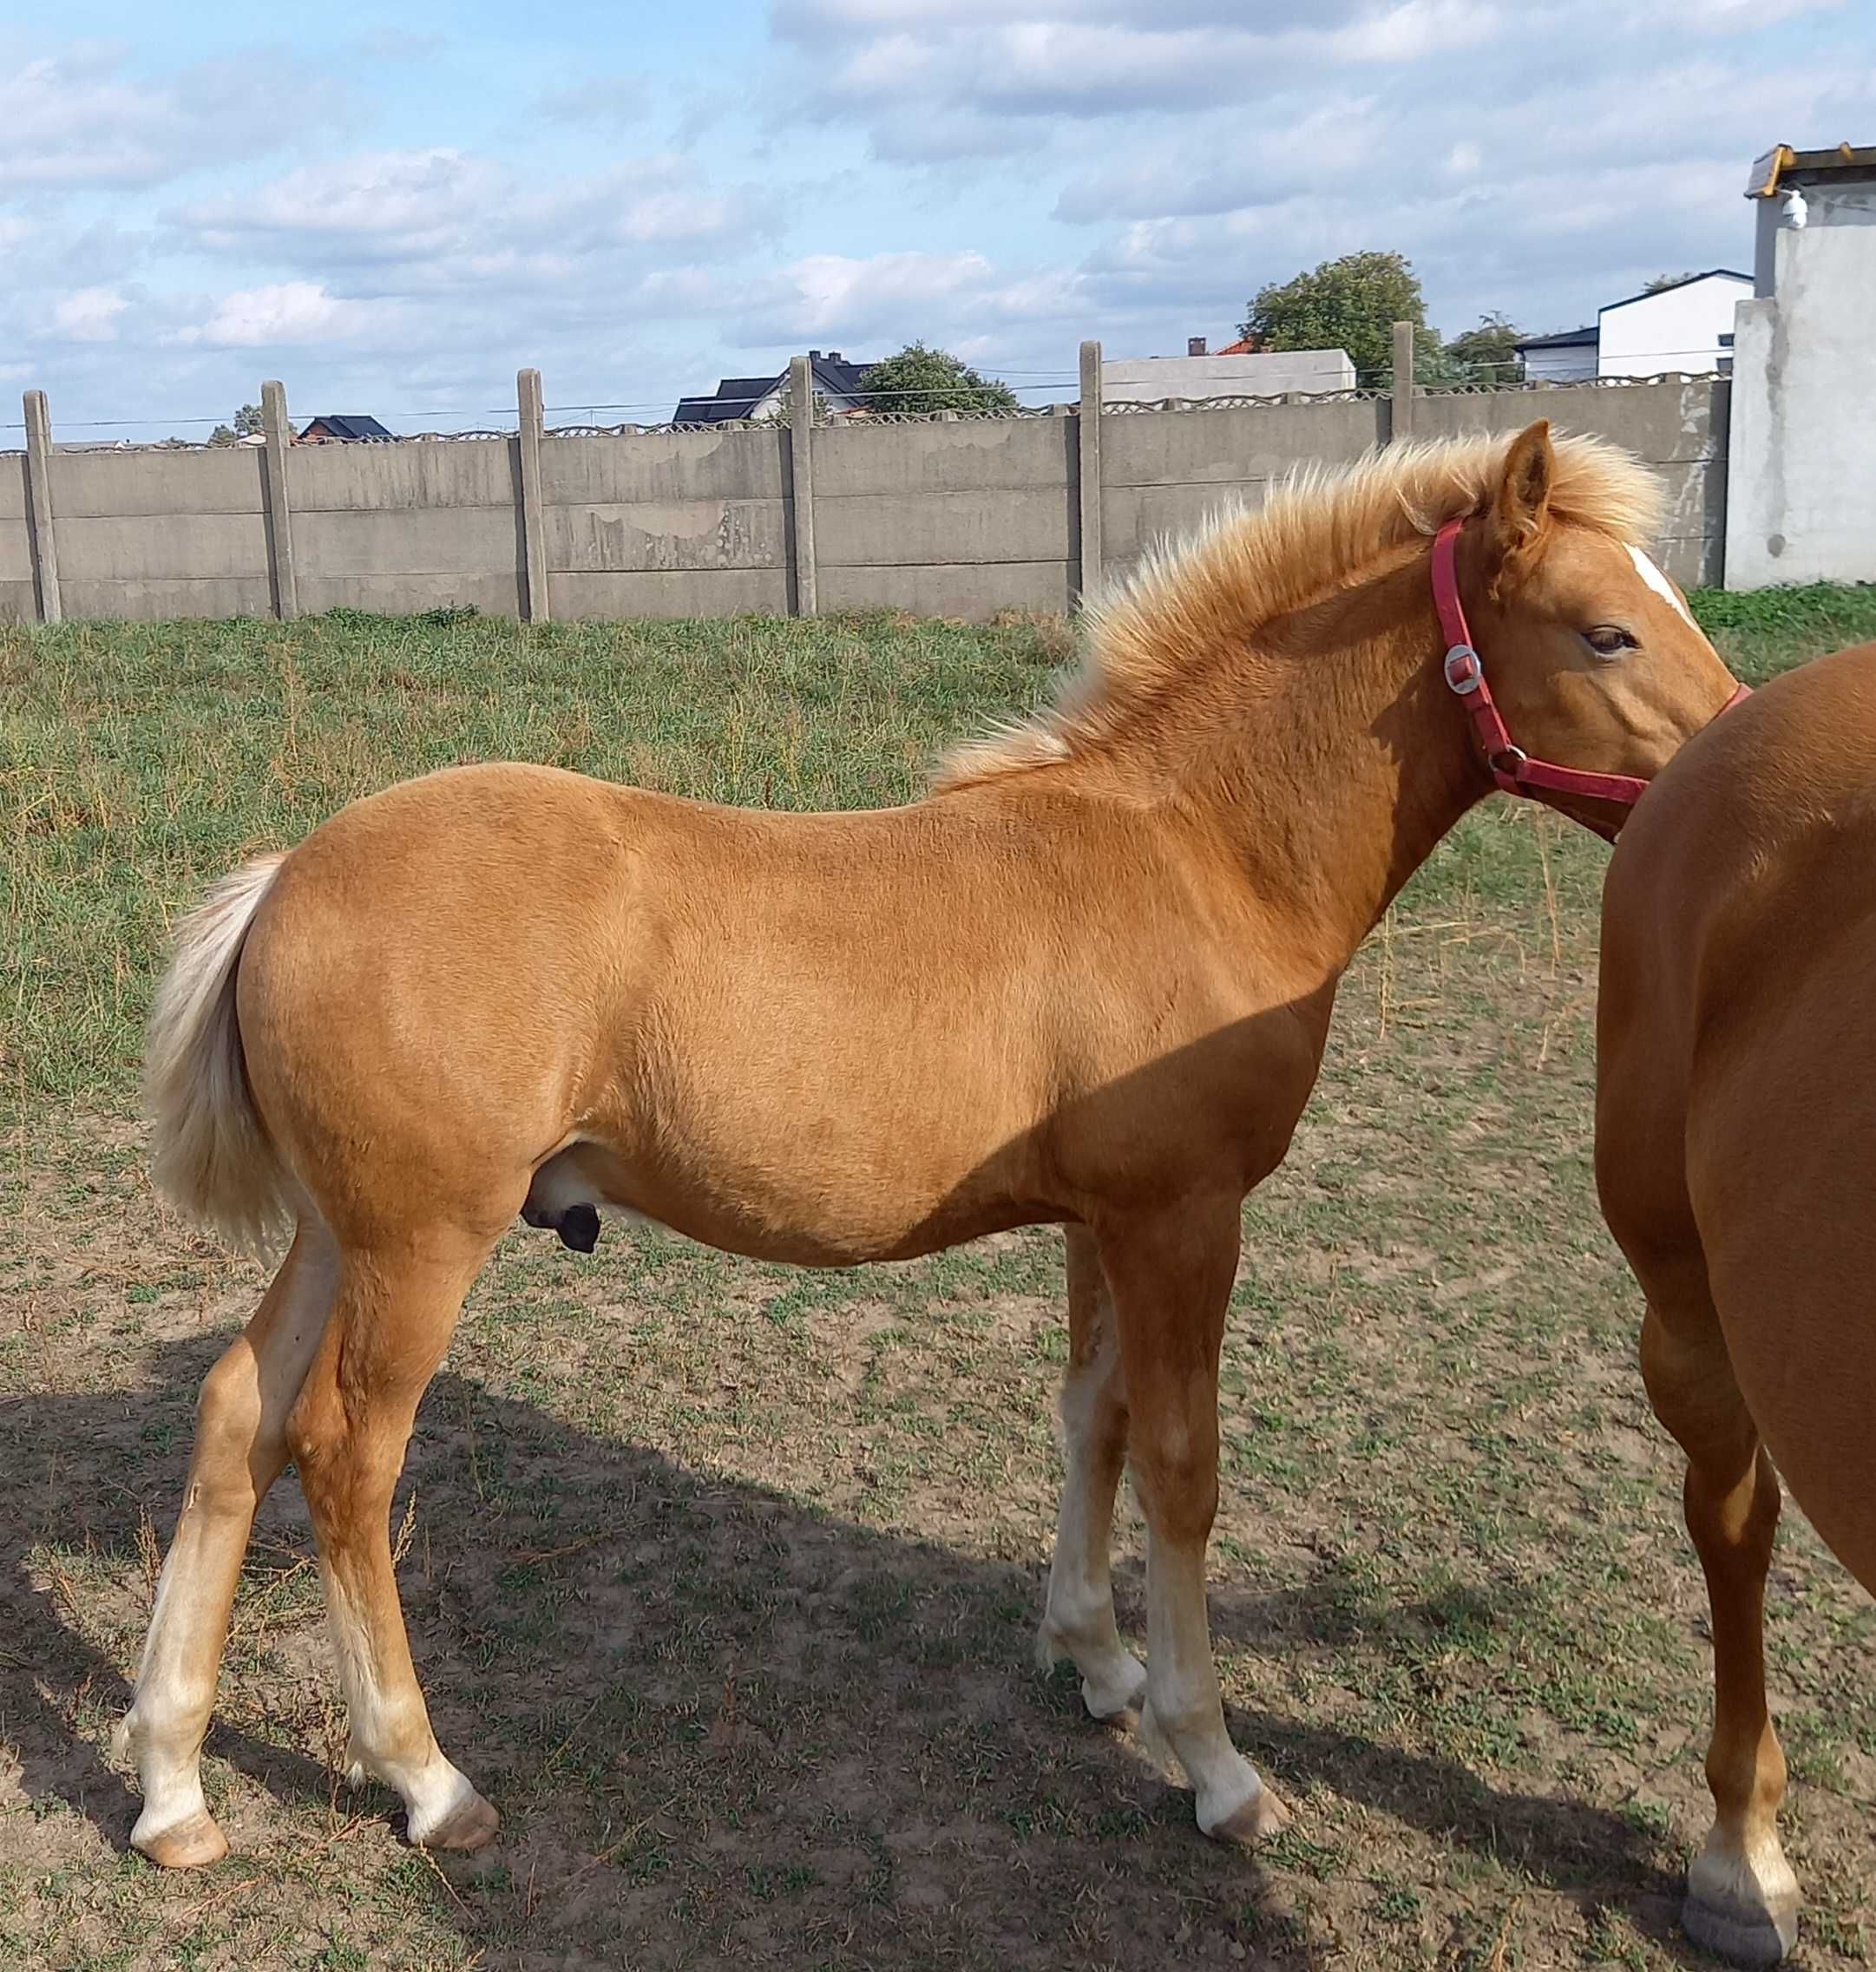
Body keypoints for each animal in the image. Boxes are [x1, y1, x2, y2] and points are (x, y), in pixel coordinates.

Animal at [121, 423, 1743, 1869]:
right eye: (1605, 631)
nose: (1727, 767)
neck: (1195, 851)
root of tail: (288, 876)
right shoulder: (1184, 1215)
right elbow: (1183, 1468)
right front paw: (1215, 1762)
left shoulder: (1105, 1218)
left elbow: (1091, 1420)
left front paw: (1094, 1661)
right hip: (420, 1244)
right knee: (344, 1455)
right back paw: (425, 1777)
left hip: (335, 1232)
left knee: (234, 1417)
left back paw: (172, 1787)